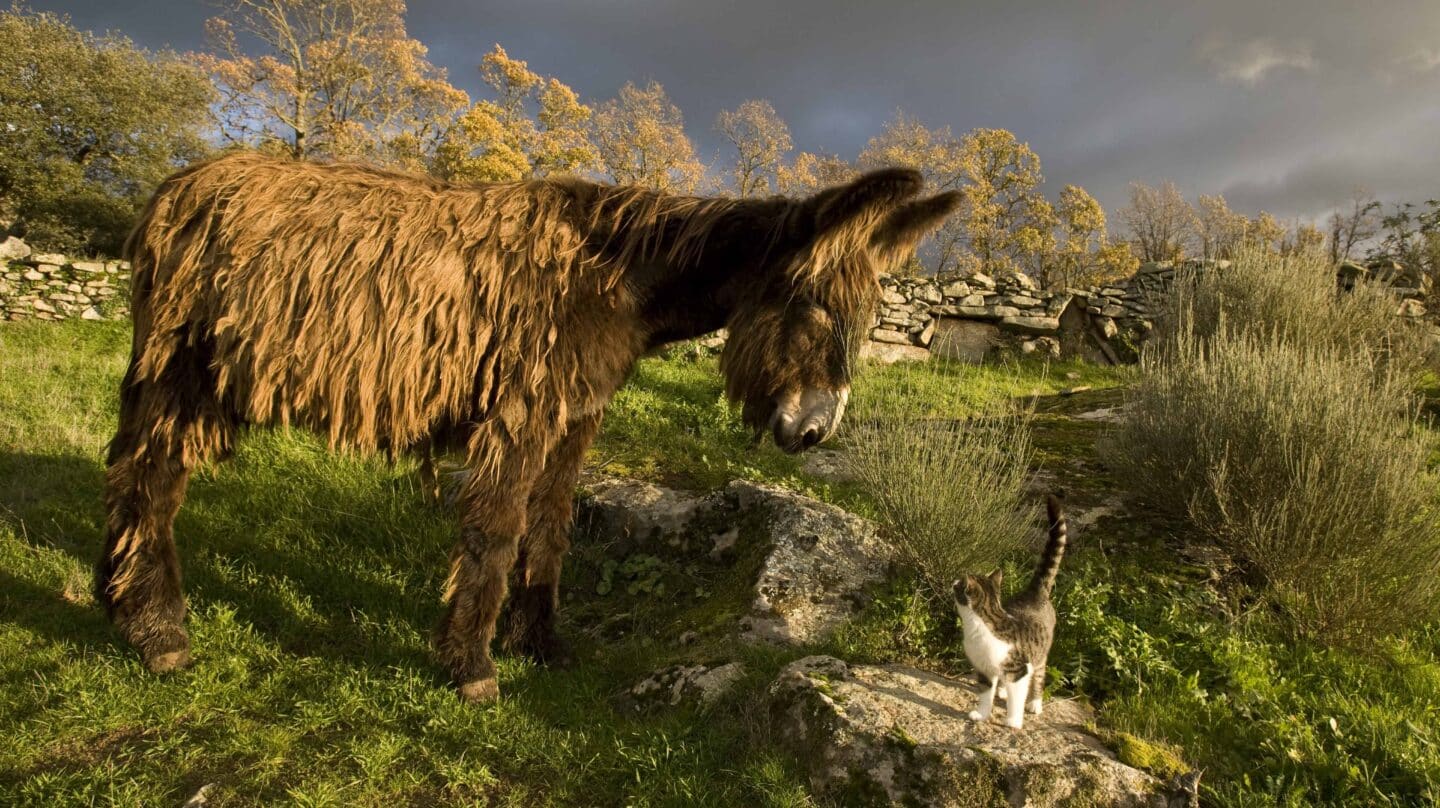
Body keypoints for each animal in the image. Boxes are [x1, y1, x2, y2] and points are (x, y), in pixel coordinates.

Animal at [950, 495, 1065, 728]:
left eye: (958, 584)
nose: (952, 582)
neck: (980, 627)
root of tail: (1035, 592)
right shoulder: (984, 670)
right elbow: (985, 695)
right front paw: (981, 714)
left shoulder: (1019, 670)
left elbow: (1017, 697)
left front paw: (1013, 721)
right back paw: (1002, 690)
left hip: (1040, 655)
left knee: (1039, 677)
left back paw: (1035, 703)